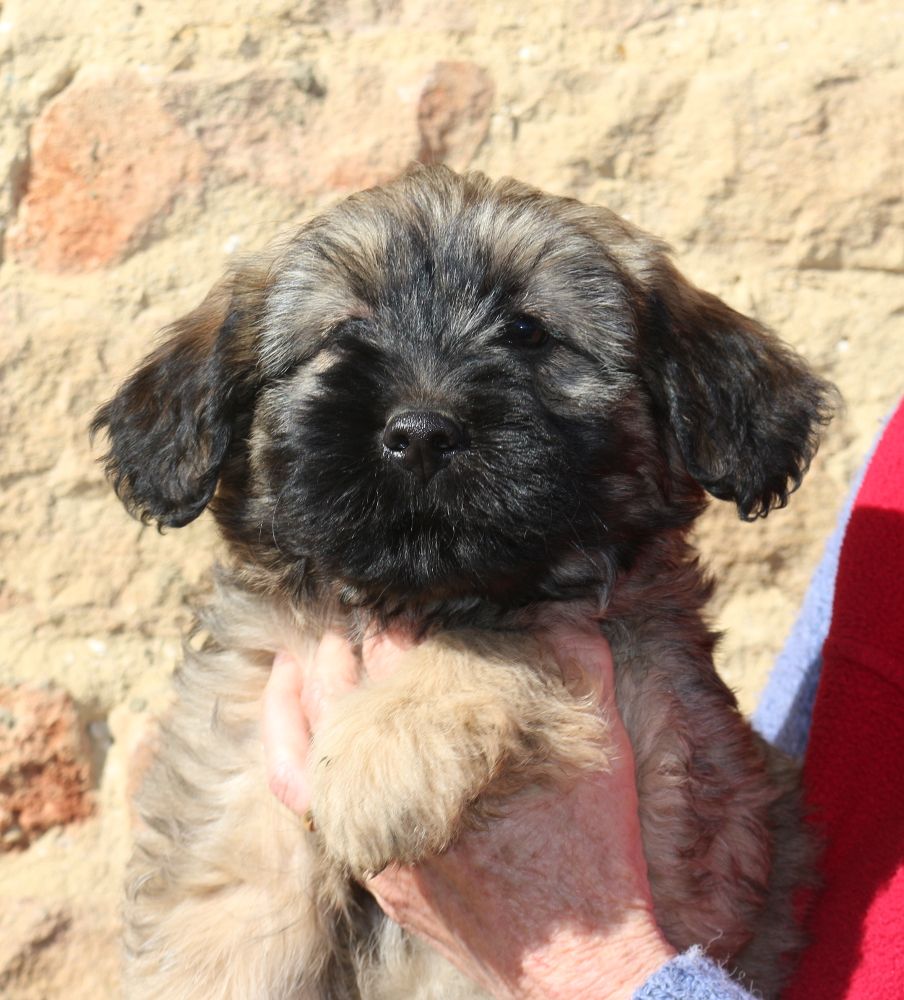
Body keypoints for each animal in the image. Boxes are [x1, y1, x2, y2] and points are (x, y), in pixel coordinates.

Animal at [92, 165, 833, 999]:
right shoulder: (244, 746)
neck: (419, 600)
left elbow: (511, 639)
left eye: (529, 332)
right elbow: (226, 904)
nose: (420, 433)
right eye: (344, 334)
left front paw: (382, 754)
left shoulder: (663, 742)